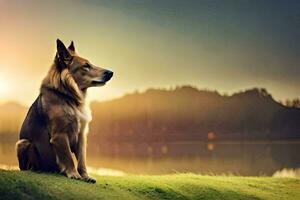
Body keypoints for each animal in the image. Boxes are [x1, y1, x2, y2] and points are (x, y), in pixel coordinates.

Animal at [14, 39, 112, 183]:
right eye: (85, 66)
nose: (110, 73)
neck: (69, 97)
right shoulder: (59, 135)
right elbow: (68, 157)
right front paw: (74, 174)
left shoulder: (82, 135)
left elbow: (82, 160)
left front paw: (85, 176)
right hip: (22, 143)